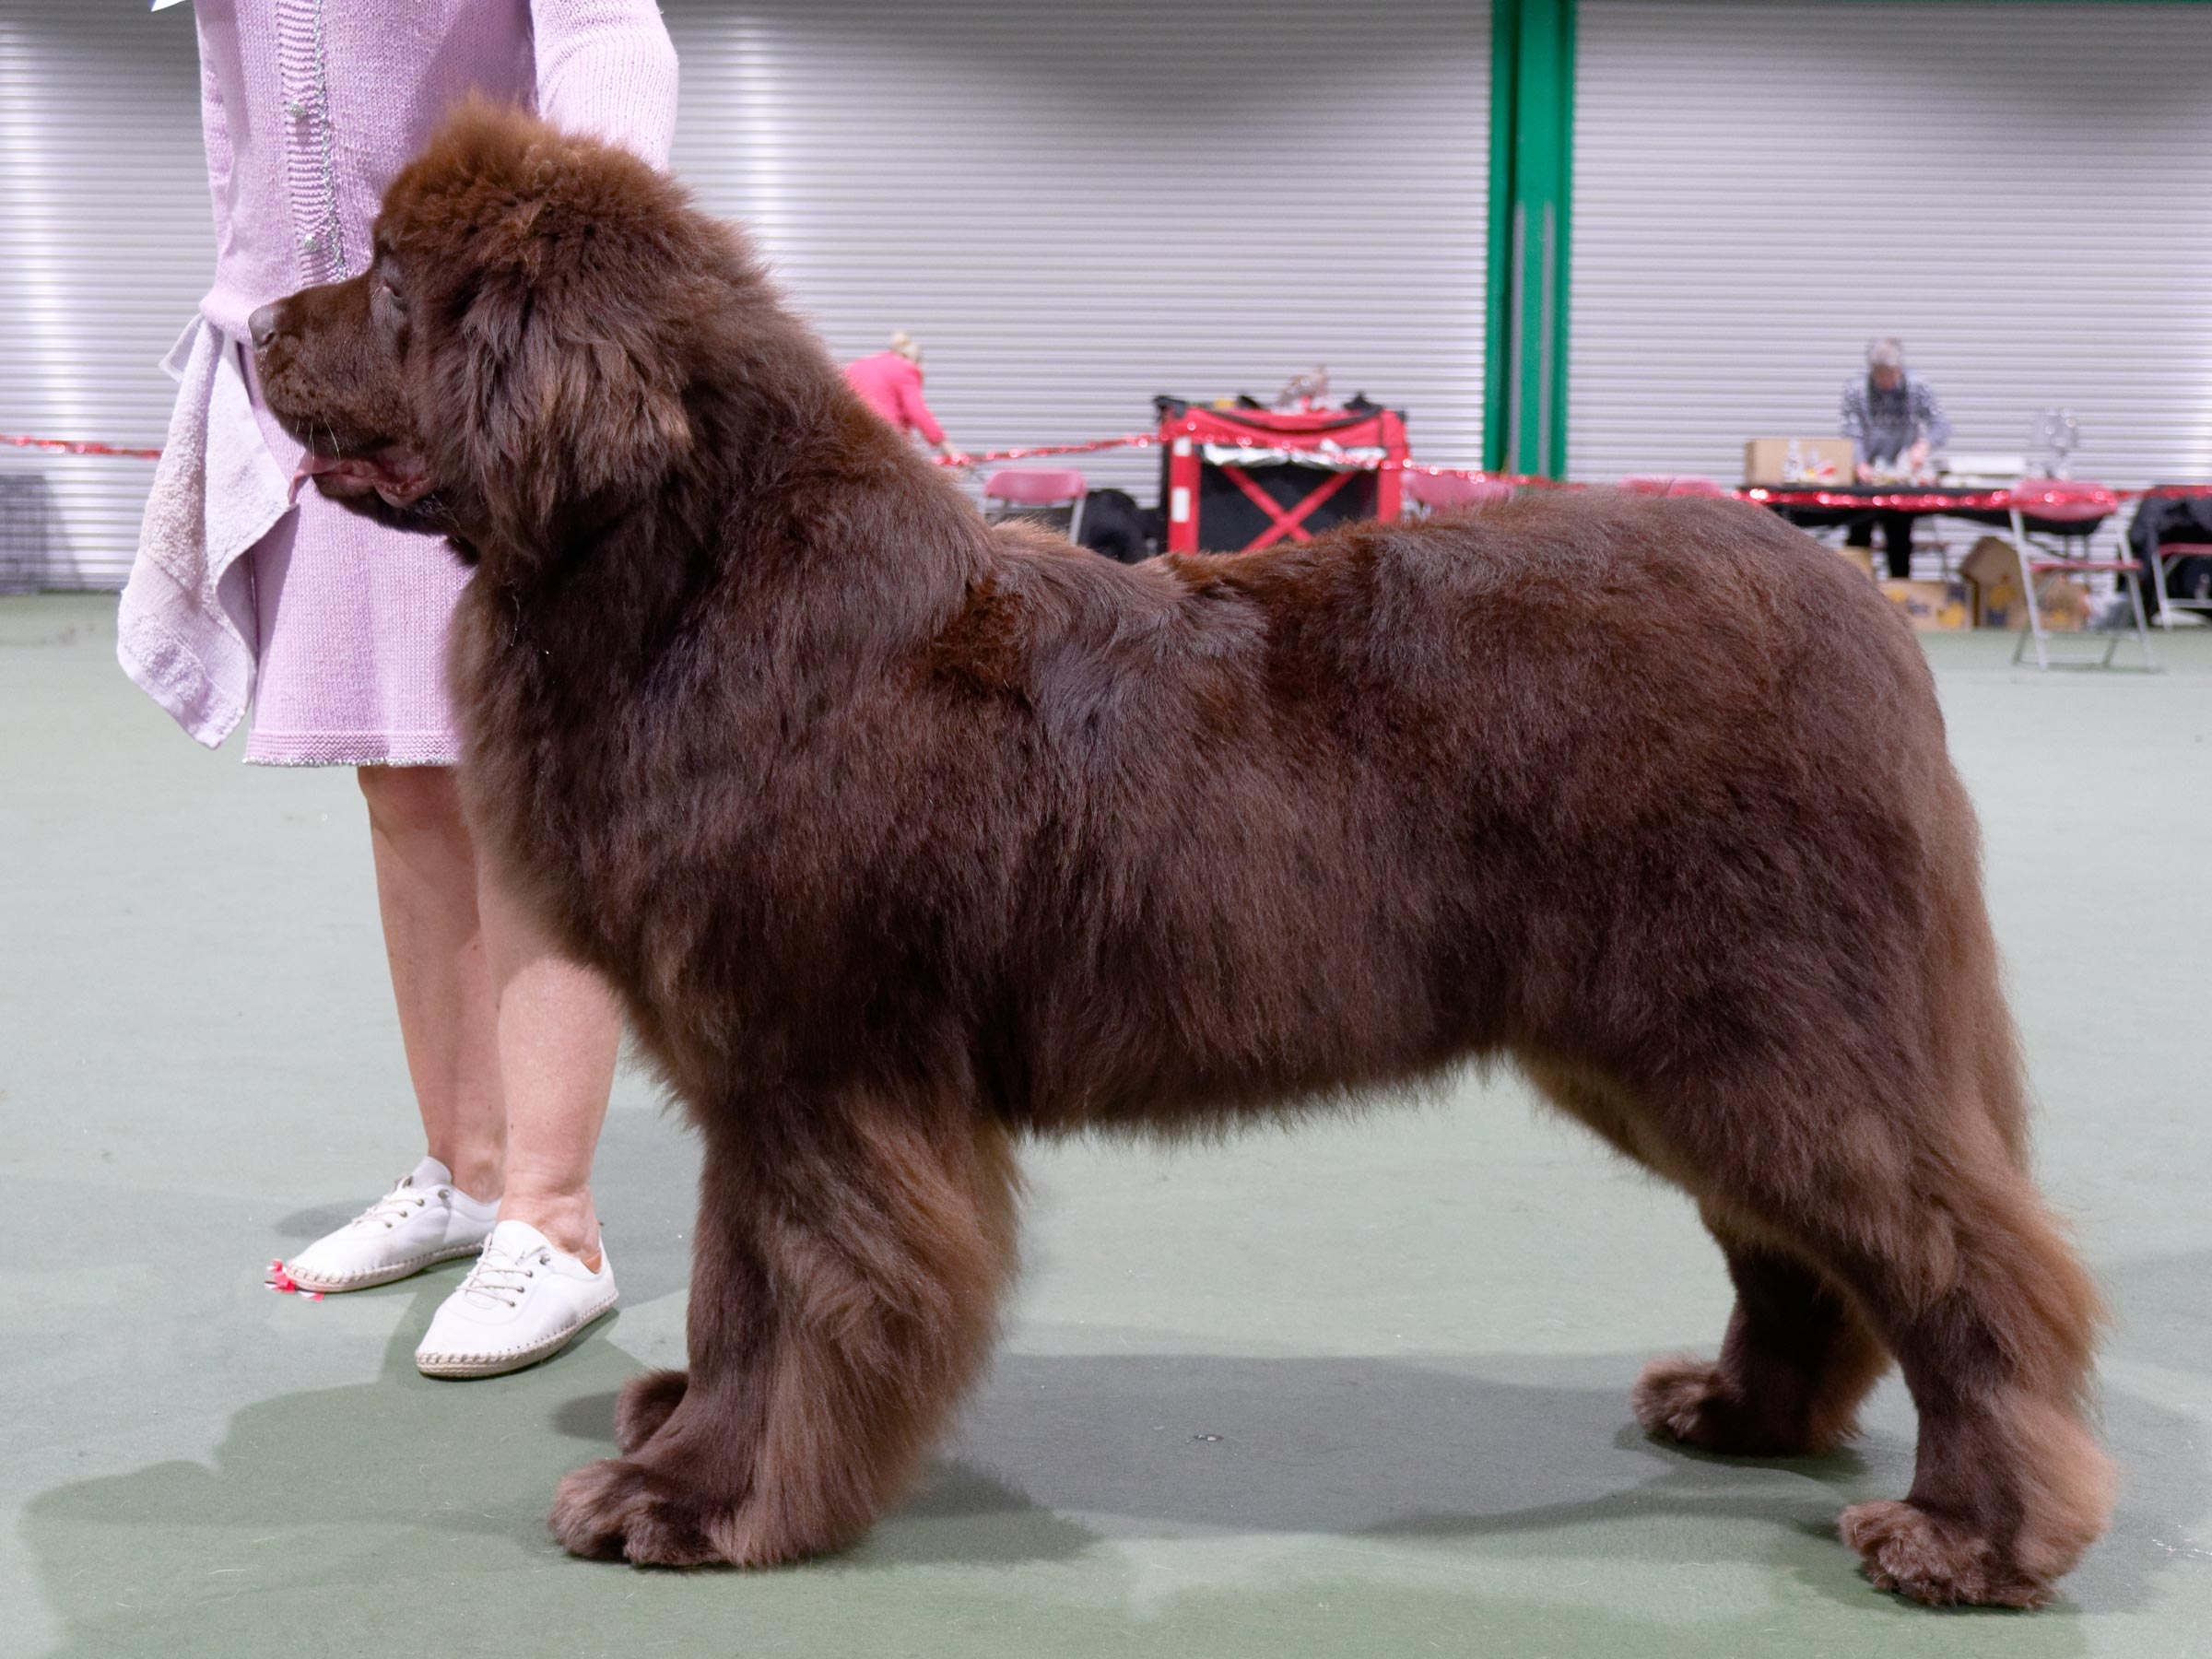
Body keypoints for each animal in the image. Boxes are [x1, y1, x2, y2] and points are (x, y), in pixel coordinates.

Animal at [252, 103, 2112, 1606]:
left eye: (394, 278)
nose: (254, 319)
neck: (692, 576)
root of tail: (1854, 601)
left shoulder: (813, 1056)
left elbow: (777, 1294)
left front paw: (690, 1501)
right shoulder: (756, 1071)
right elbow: (735, 1289)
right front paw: (688, 1448)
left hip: (1763, 1020)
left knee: (1966, 1254)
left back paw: (1975, 1534)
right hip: (1675, 1045)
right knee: (1809, 1250)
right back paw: (1744, 1414)